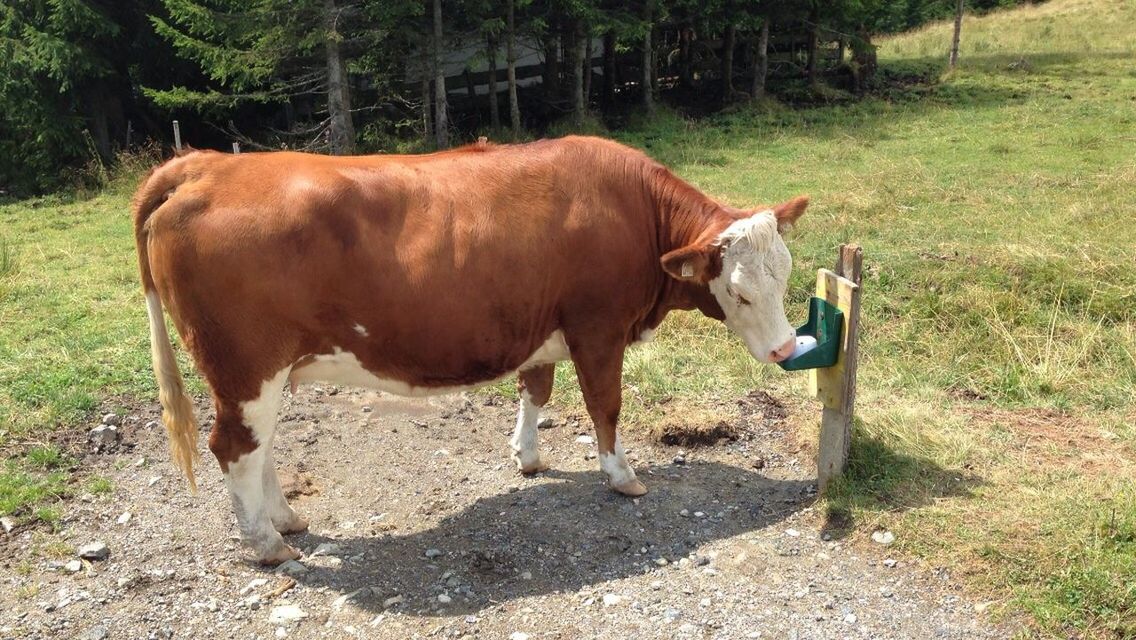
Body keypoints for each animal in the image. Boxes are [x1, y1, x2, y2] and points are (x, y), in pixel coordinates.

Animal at [132, 134, 808, 561]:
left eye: (786, 275)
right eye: (739, 292)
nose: (783, 350)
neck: (635, 211)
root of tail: (206, 165)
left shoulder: (541, 326)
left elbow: (537, 390)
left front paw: (527, 456)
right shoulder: (598, 328)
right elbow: (605, 405)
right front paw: (621, 476)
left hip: (262, 374)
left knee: (259, 447)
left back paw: (285, 519)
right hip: (244, 367)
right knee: (234, 448)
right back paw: (268, 545)